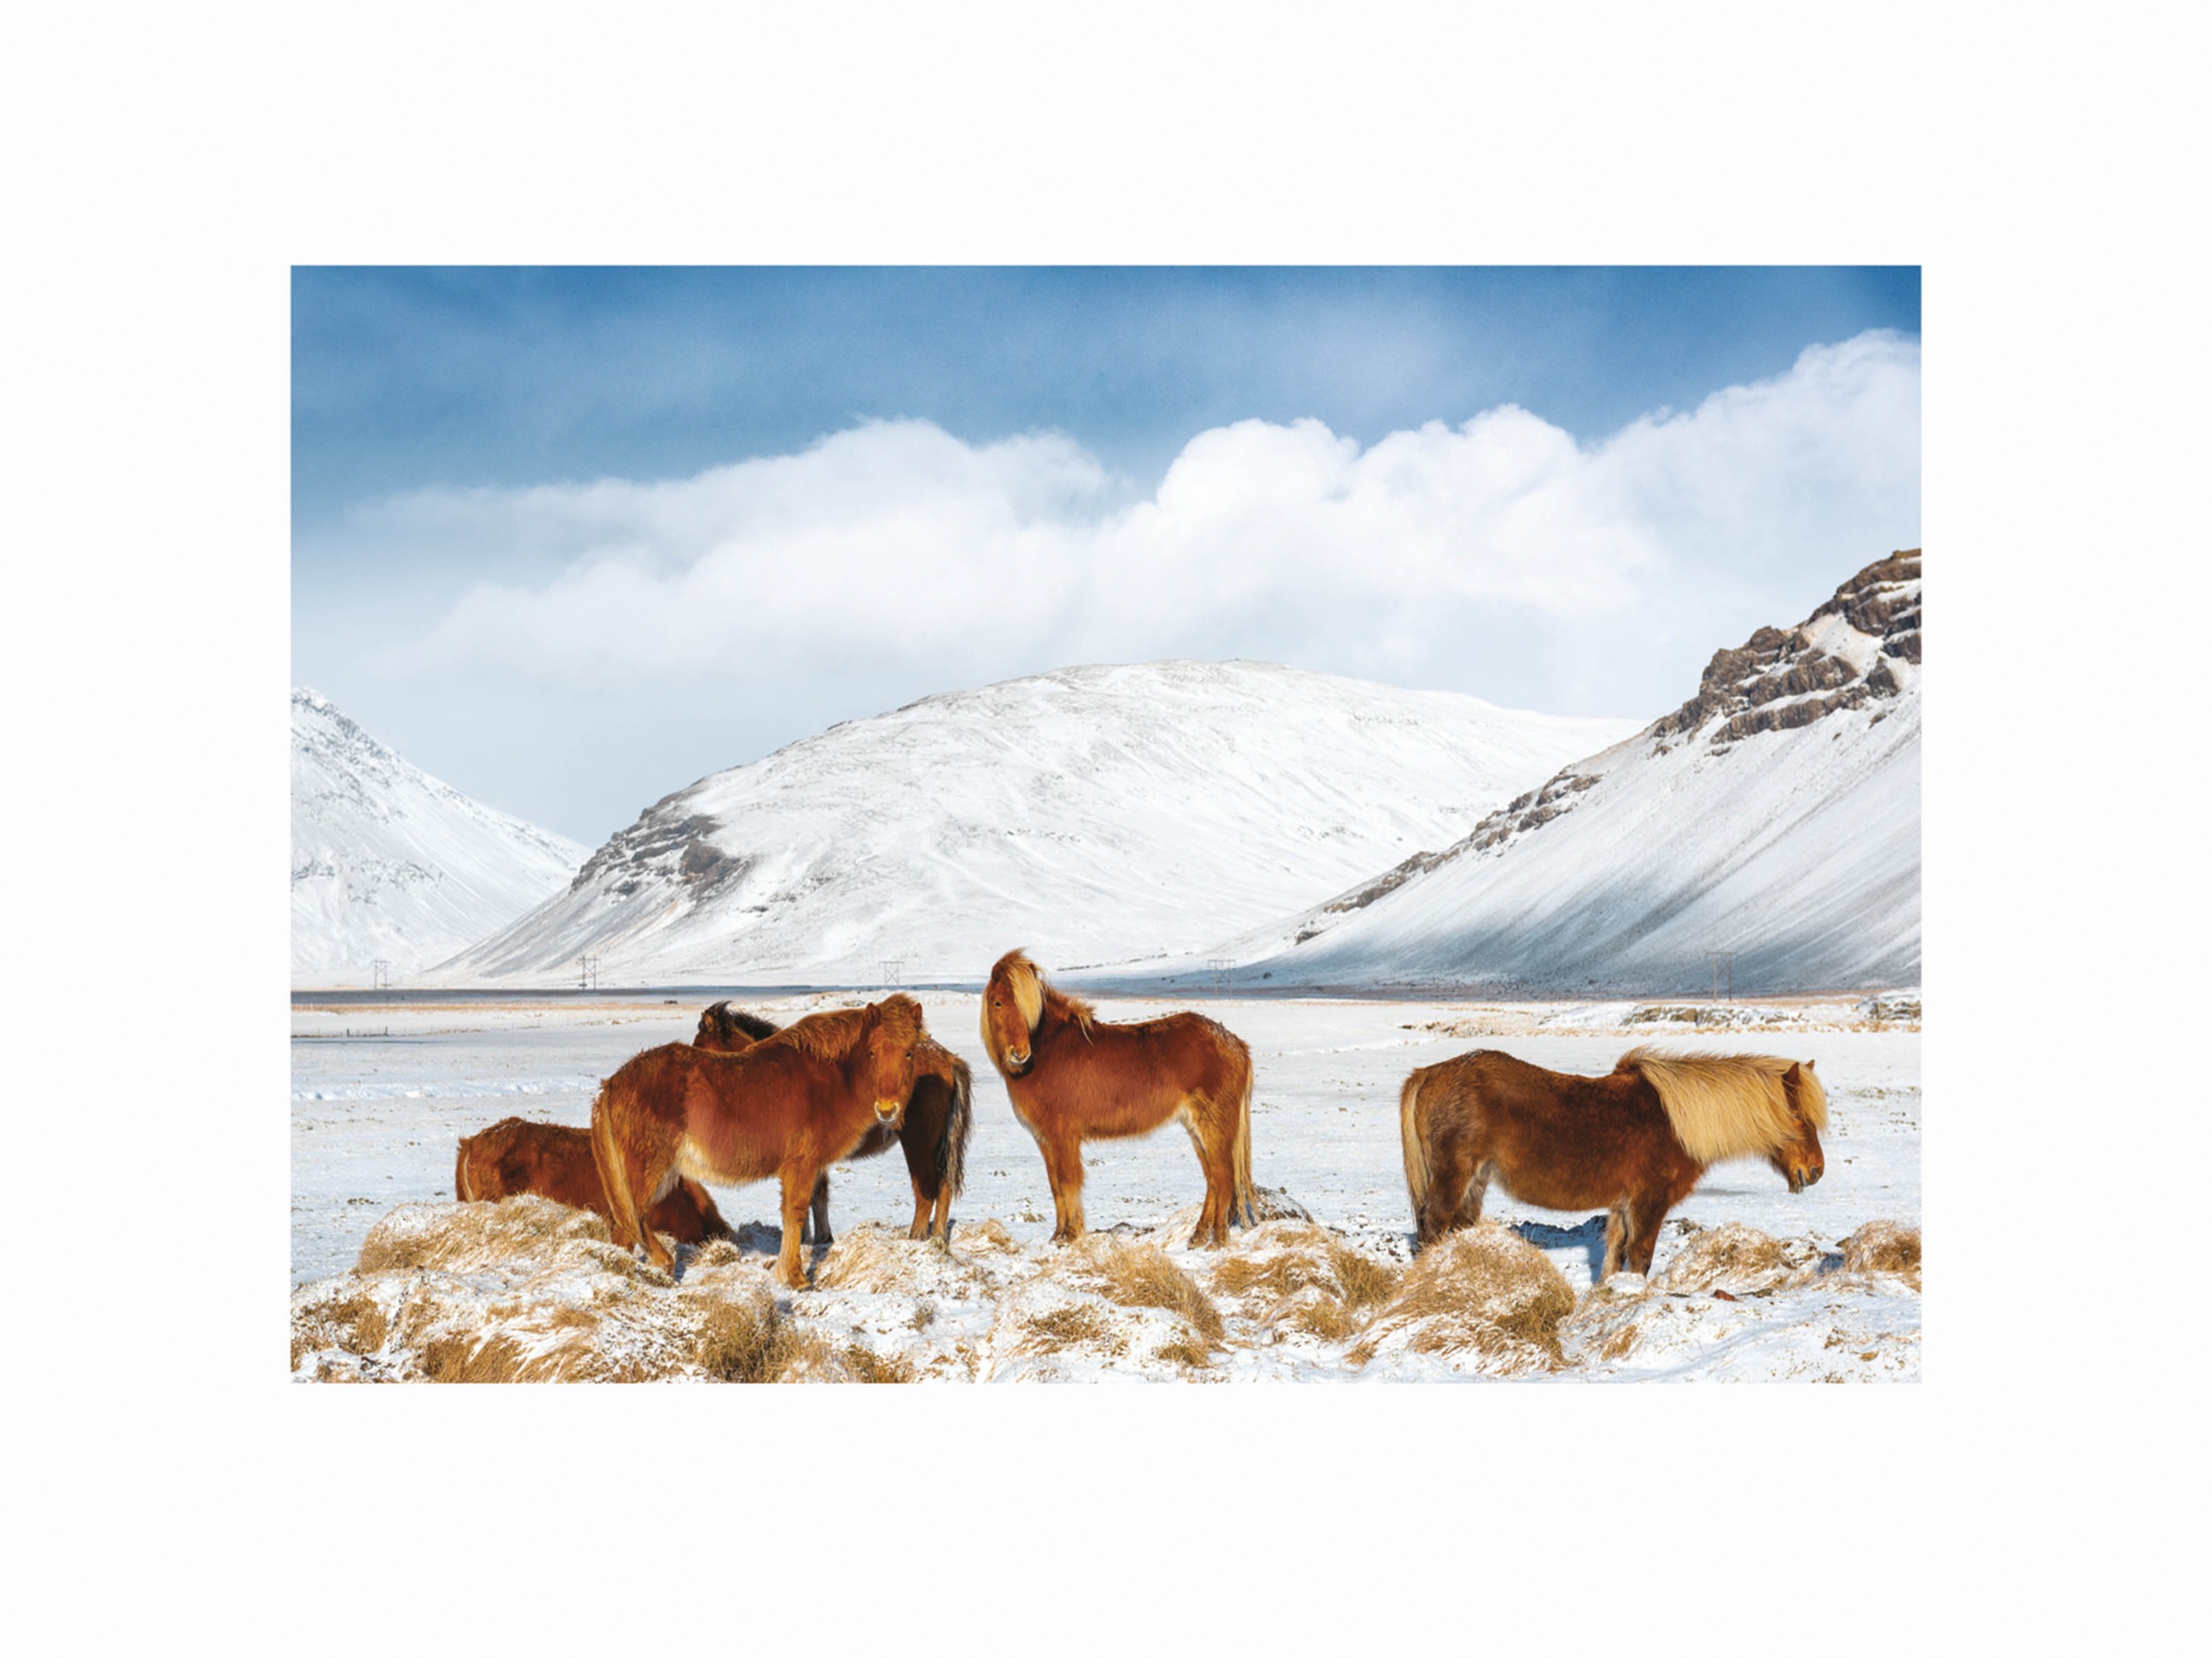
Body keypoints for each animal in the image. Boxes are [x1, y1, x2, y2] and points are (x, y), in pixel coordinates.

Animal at [590, 994, 929, 1287]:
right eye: (872, 1052)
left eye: (909, 1051)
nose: (887, 1110)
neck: (831, 1076)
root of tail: (613, 1083)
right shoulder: (802, 1164)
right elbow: (796, 1212)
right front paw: (795, 1278)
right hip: (650, 1170)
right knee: (630, 1219)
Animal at [693, 1004, 973, 1248]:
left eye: (700, 1046)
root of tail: (947, 1059)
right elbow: (816, 1195)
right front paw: (817, 1238)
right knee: (944, 1188)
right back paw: (937, 1238)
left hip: (918, 1143)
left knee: (926, 1191)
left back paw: (917, 1237)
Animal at [980, 949, 1256, 1249]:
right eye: (997, 1002)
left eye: (1029, 1006)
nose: (1020, 1053)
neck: (1050, 1051)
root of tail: (1235, 1043)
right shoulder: (1045, 1139)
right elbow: (1055, 1186)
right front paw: (1058, 1235)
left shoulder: (1063, 1136)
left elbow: (1068, 1182)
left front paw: (1071, 1235)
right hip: (1196, 1130)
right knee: (1213, 1180)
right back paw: (1198, 1237)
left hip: (1213, 1127)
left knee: (1224, 1177)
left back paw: (1217, 1241)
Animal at [1397, 1045, 1828, 1280]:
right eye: (1796, 1115)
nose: (1816, 1171)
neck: (1674, 1122)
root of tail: (1428, 1074)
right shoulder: (1649, 1202)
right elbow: (1640, 1257)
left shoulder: (1623, 1207)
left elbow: (1613, 1258)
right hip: (1454, 1177)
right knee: (1434, 1225)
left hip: (1475, 1182)